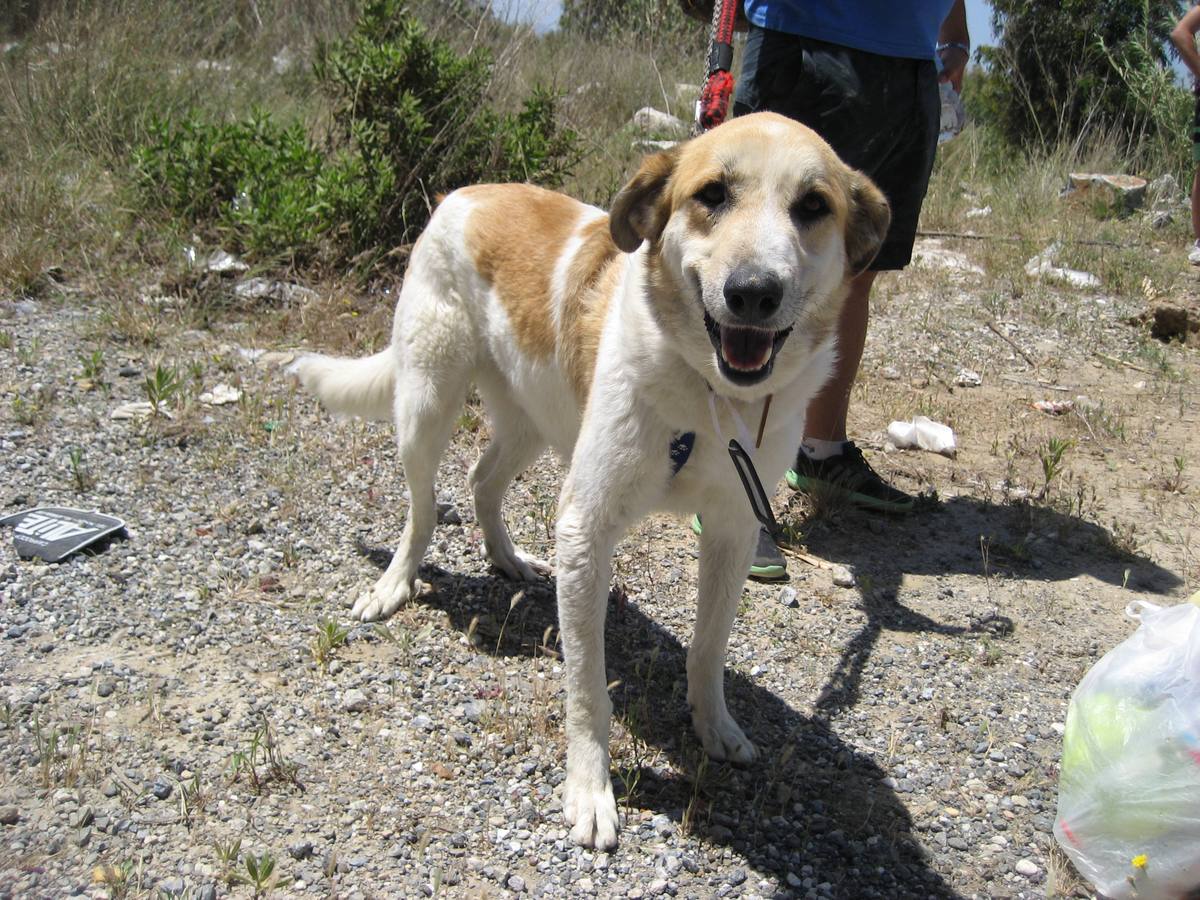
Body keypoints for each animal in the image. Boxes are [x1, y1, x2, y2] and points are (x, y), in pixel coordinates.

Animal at [295, 112, 888, 854]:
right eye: (712, 195)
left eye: (813, 206)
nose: (753, 292)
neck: (706, 395)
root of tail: (468, 191)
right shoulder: (588, 526)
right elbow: (587, 687)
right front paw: (589, 791)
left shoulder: (732, 530)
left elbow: (709, 648)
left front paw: (715, 726)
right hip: (428, 403)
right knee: (423, 508)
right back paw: (395, 584)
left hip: (534, 418)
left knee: (481, 478)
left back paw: (509, 559)